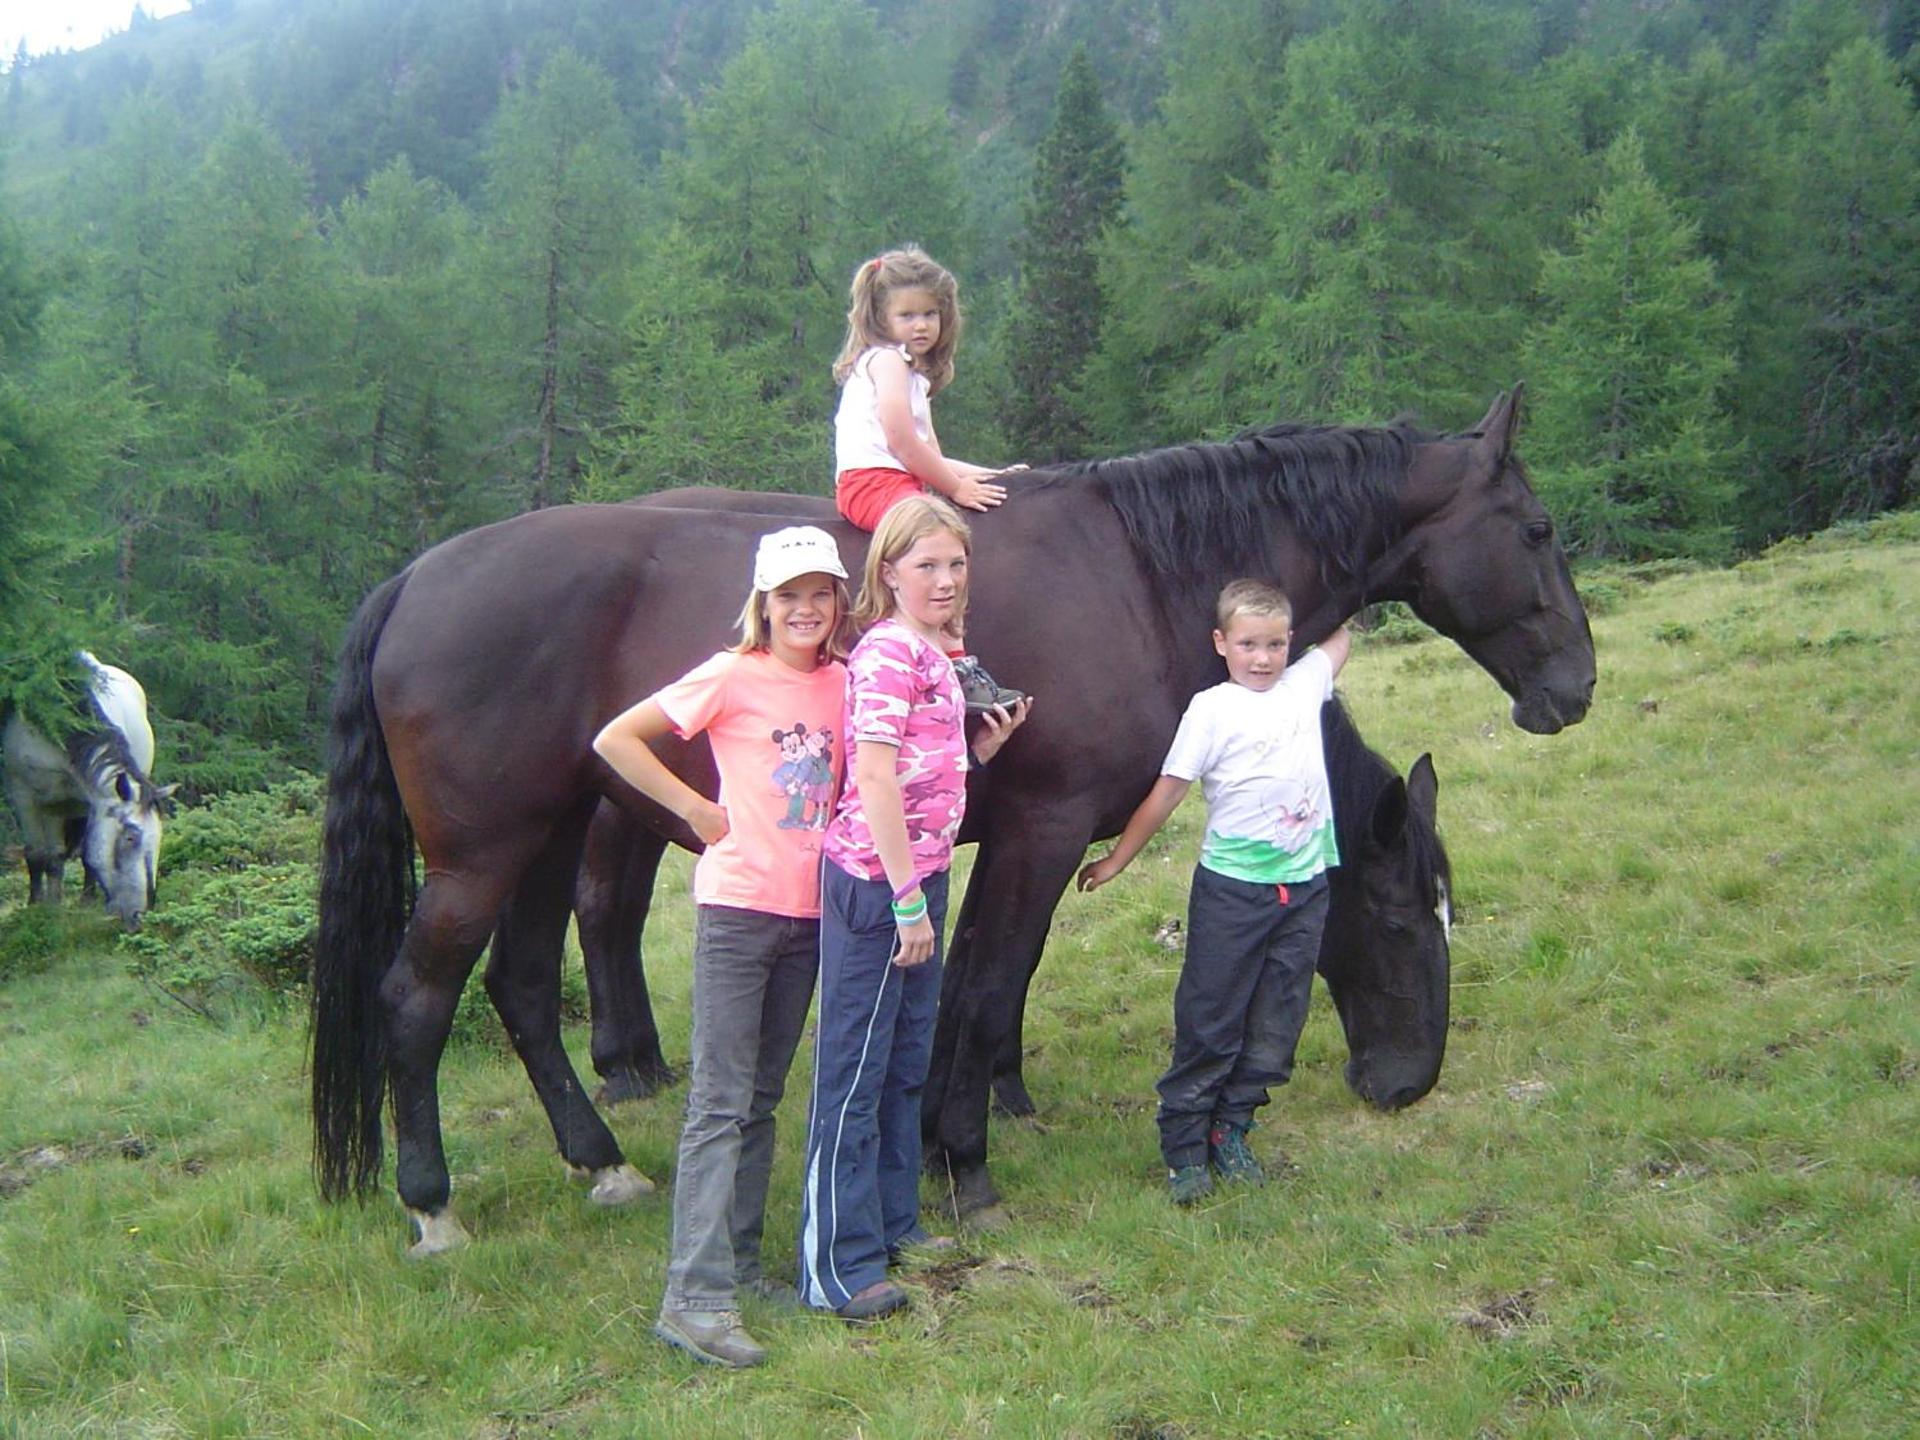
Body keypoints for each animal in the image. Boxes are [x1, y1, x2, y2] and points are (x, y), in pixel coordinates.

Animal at [1, 653, 174, 930]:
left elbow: (78, 855)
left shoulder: (87, 803)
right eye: (130, 838)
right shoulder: (28, 797)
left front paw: (72, 903)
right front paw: (40, 906)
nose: (142, 914)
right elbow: (40, 855)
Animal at [312, 389, 1592, 1250]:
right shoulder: (1039, 834)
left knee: (526, 991)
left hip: (544, 840)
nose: (1574, 687)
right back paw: (432, 1203)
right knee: (416, 1002)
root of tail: (414, 580)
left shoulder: (1011, 840)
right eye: (1535, 531)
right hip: (482, 859)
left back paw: (598, 1161)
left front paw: (954, 1124)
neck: (1141, 570)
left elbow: (979, 985)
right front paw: (963, 1159)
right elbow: (984, 985)